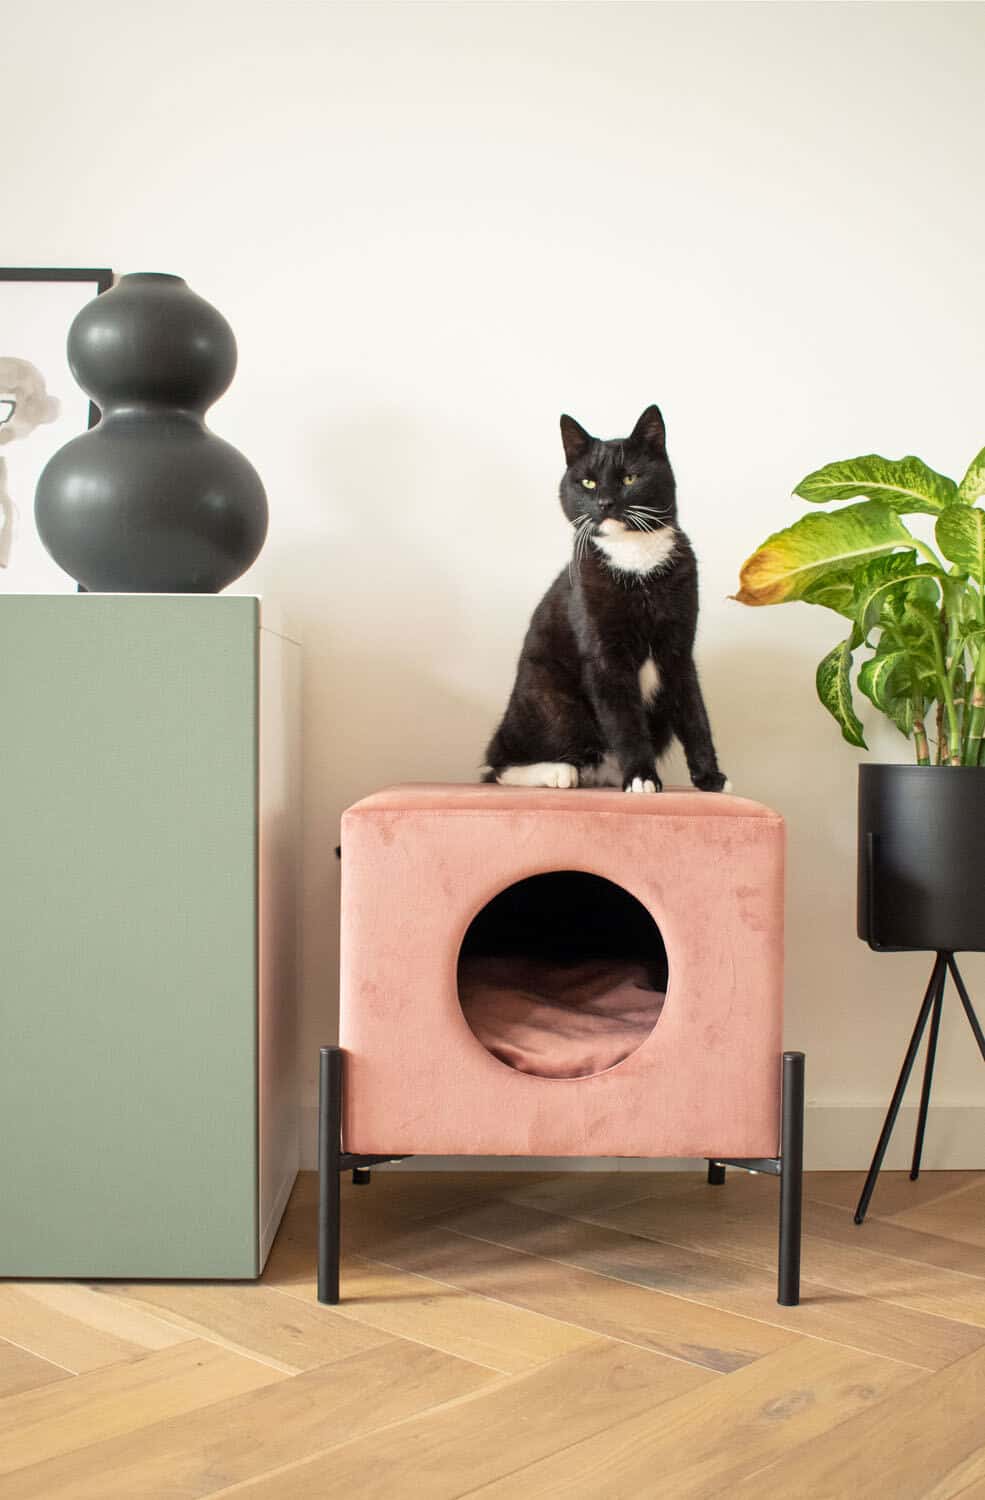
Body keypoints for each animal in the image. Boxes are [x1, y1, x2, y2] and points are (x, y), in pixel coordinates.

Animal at [479, 399, 725, 798]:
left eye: (630, 479)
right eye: (588, 481)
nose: (605, 501)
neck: (636, 559)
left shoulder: (678, 648)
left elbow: (694, 714)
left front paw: (711, 777)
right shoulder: (604, 654)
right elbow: (625, 720)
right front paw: (641, 777)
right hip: (550, 700)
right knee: (498, 764)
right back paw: (559, 773)